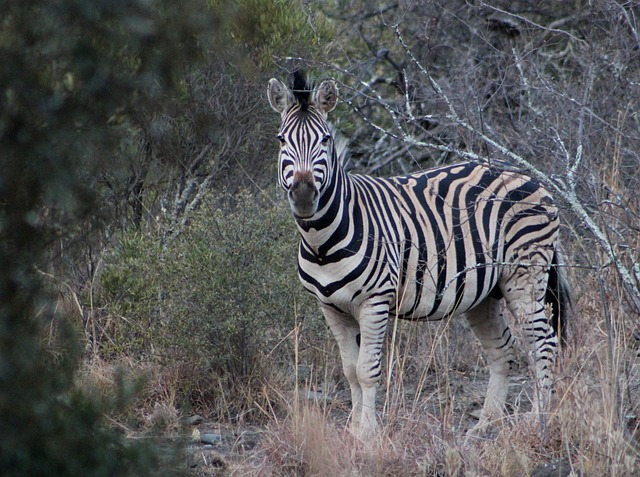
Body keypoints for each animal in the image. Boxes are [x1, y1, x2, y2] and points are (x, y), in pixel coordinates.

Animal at [264, 69, 568, 436]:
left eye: (324, 141)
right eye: (281, 140)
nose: (305, 194)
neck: (321, 241)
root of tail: (530, 177)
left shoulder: (375, 301)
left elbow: (367, 370)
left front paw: (367, 434)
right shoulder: (330, 307)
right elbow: (349, 370)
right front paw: (352, 431)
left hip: (525, 275)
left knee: (544, 345)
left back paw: (537, 421)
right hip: (483, 293)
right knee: (502, 350)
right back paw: (486, 423)